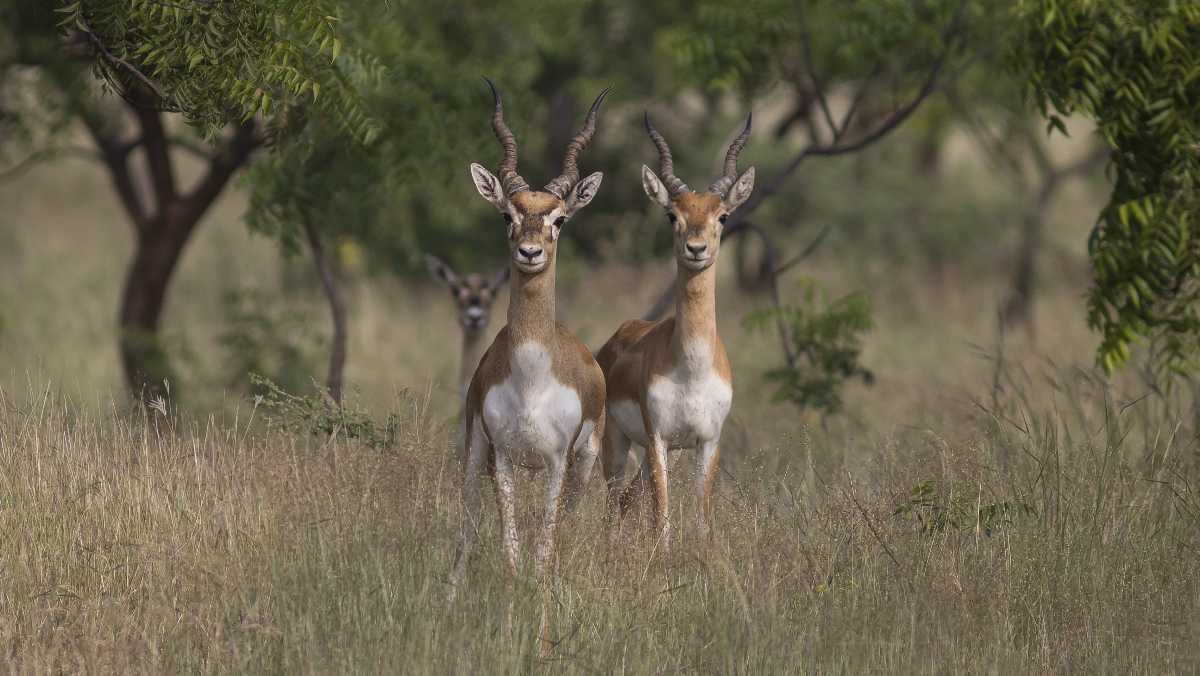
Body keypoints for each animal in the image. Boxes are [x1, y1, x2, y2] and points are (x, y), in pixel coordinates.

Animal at [595, 111, 753, 545]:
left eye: (722, 215)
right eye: (672, 215)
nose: (696, 249)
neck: (692, 367)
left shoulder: (707, 442)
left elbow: (702, 519)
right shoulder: (658, 438)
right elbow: (661, 518)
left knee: (626, 500)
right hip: (616, 444)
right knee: (613, 503)